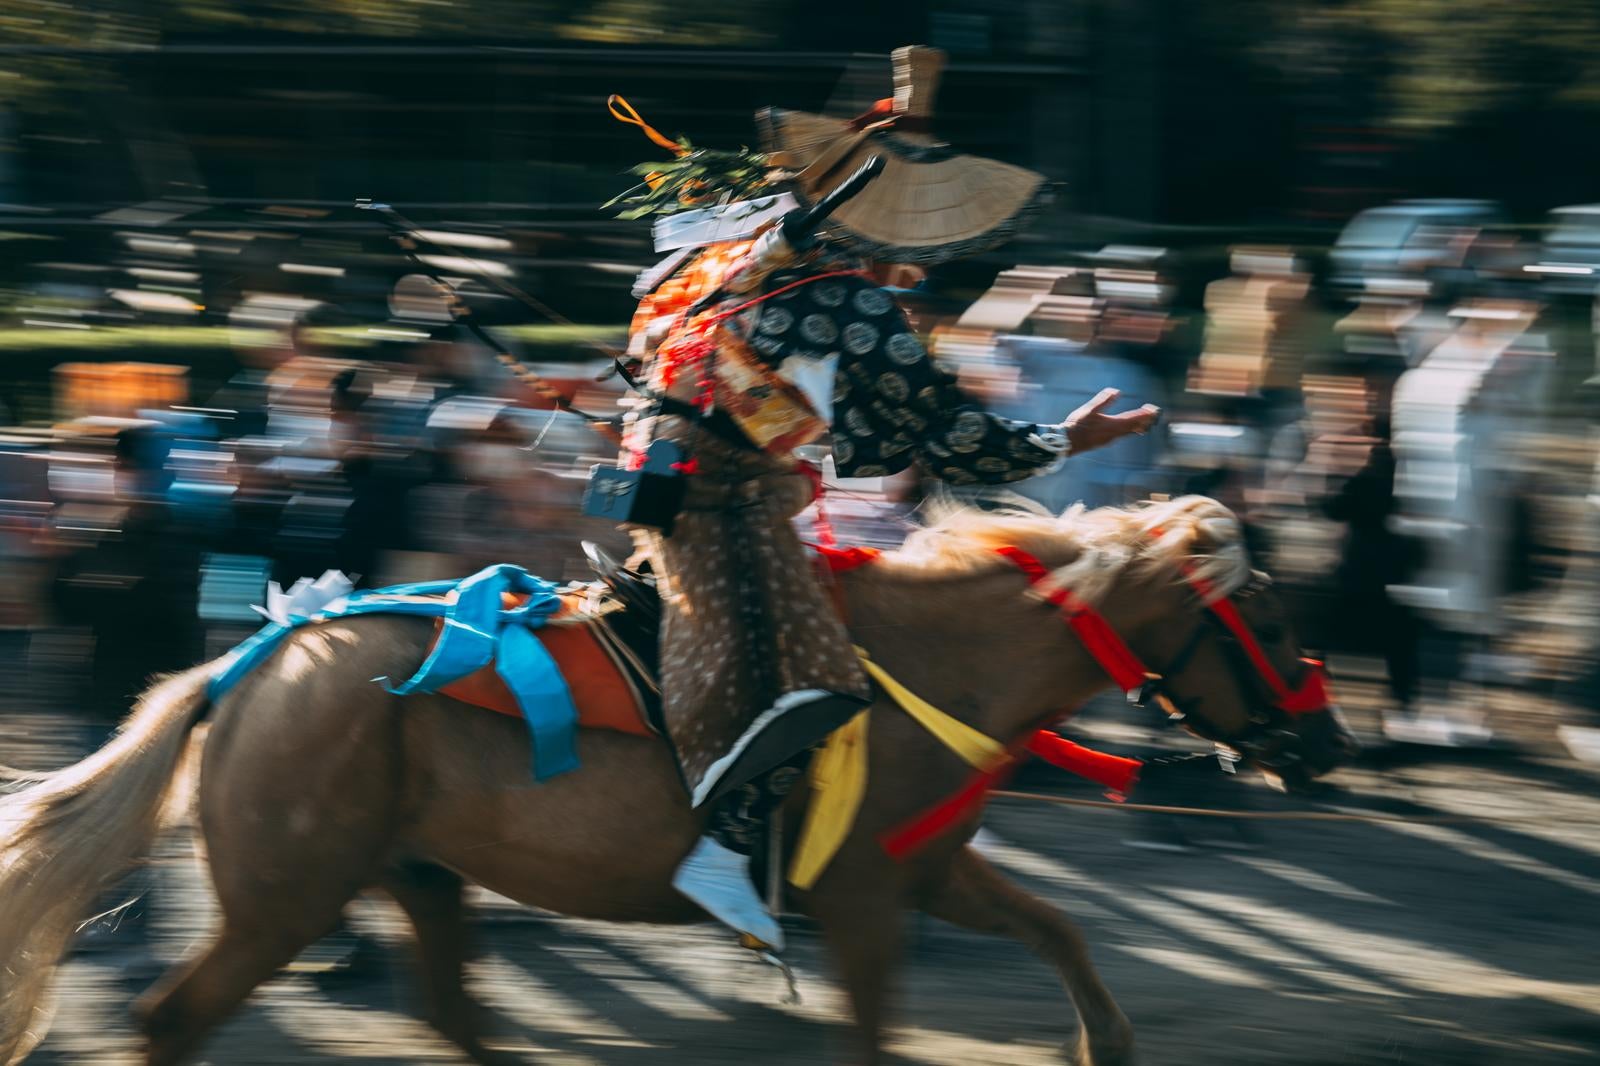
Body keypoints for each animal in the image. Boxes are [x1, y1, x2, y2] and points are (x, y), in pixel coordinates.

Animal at [0, 496, 1350, 1062]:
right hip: (286, 896)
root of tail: (257, 659)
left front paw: (1103, 1045)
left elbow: (1060, 930)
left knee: (456, 1019)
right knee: (175, 1020)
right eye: (1277, 622)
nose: (1326, 747)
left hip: (417, 874)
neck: (920, 666)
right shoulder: (864, 904)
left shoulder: (919, 872)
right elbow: (879, 1030)